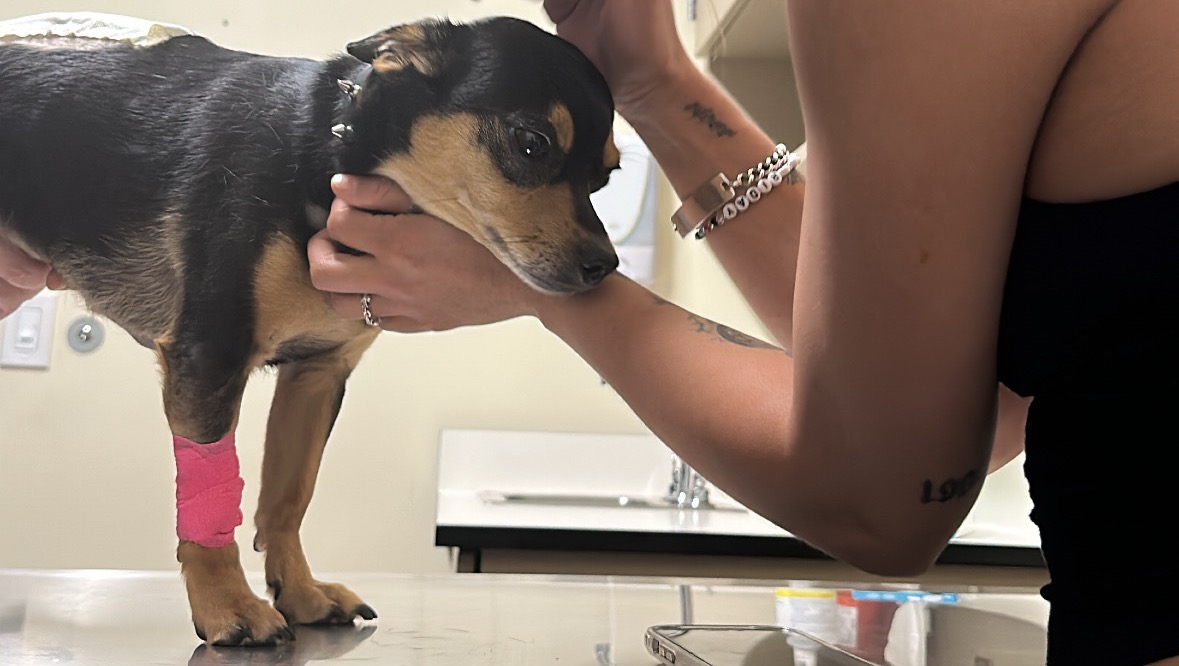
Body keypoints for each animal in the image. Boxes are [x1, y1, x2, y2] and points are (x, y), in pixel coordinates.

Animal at [0, 13, 619, 646]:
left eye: (606, 177)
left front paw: (299, 593)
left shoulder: (317, 374)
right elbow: (209, 502)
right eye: (532, 143)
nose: (606, 265)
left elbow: (287, 496)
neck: (329, 157)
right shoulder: (208, 358)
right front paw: (227, 606)